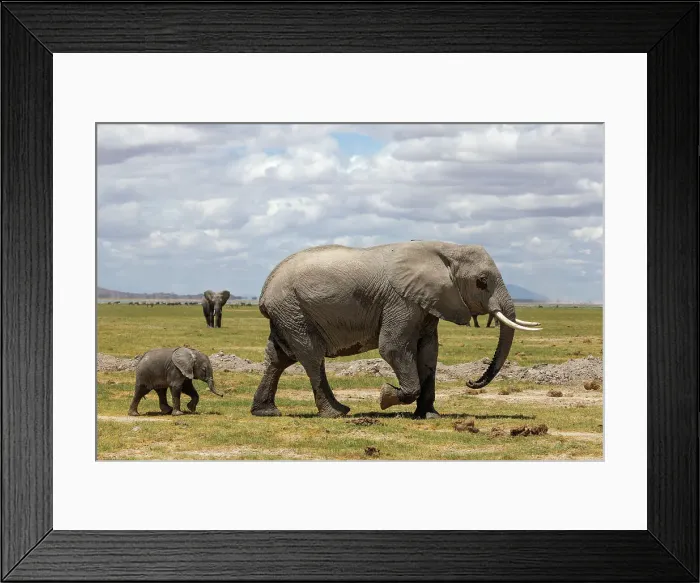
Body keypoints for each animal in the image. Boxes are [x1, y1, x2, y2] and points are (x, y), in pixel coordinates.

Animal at [250, 240, 542, 419]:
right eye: (481, 281)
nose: (471, 382)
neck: (445, 249)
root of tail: (264, 290)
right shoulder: (400, 300)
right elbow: (393, 348)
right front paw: (385, 396)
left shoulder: (427, 303)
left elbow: (429, 352)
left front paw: (429, 416)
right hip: (292, 309)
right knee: (311, 357)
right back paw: (337, 413)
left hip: (287, 314)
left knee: (279, 358)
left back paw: (266, 412)